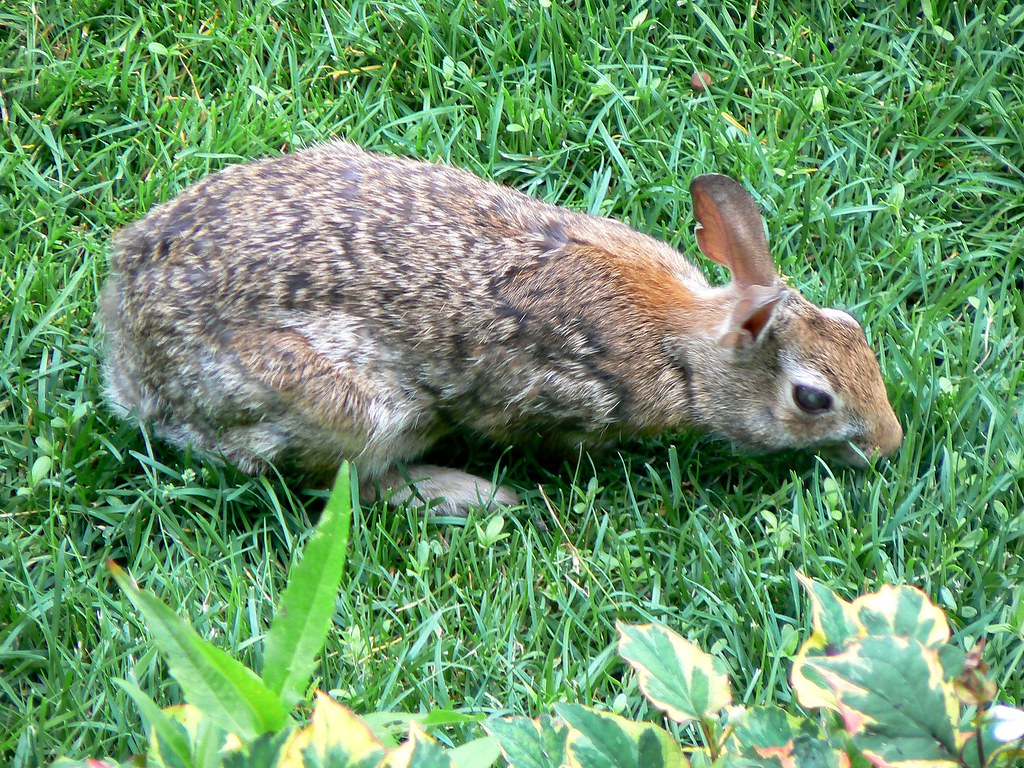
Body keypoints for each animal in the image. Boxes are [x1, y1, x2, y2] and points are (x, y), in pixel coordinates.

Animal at [99, 140, 903, 515]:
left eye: (853, 328)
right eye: (812, 399)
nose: (890, 444)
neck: (683, 345)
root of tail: (131, 363)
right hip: (348, 405)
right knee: (347, 480)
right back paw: (470, 495)